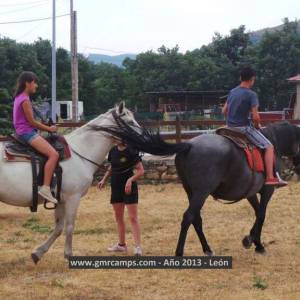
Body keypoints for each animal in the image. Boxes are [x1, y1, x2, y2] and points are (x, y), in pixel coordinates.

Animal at [0, 102, 138, 262]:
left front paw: (38, 253)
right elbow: (70, 226)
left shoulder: (60, 199)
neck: (80, 153)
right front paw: (68, 254)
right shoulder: (73, 197)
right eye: (129, 122)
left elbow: (59, 228)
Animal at [94, 118, 300, 256]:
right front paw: (257, 243)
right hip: (202, 192)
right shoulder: (267, 190)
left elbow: (257, 213)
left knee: (196, 219)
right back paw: (179, 252)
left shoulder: (250, 193)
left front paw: (251, 240)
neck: (273, 140)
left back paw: (207, 249)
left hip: (192, 192)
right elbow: (262, 214)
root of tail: (189, 145)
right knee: (188, 217)